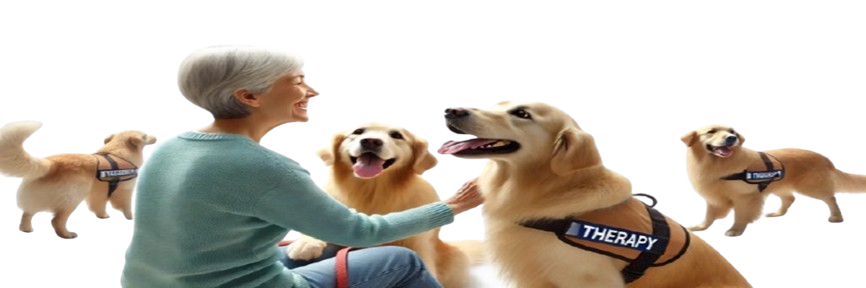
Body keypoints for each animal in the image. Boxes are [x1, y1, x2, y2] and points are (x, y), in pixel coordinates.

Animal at [0, 120, 157, 240]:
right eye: (145, 135)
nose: (155, 137)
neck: (117, 153)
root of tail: (50, 164)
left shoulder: (98, 193)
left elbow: (99, 205)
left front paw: (103, 215)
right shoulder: (124, 191)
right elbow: (126, 206)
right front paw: (132, 217)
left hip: (39, 196)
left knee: (27, 213)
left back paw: (26, 228)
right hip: (72, 198)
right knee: (56, 220)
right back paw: (66, 235)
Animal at [286, 121, 482, 288]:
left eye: (396, 135)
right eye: (357, 132)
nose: (371, 141)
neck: (373, 191)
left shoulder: (417, 244)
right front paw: (305, 244)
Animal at [680, 122, 860, 237]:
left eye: (732, 132)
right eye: (711, 132)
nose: (731, 138)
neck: (718, 164)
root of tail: (824, 157)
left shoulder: (745, 197)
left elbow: (740, 215)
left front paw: (736, 230)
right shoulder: (714, 197)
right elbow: (709, 214)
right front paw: (701, 226)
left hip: (811, 186)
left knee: (830, 198)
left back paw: (836, 217)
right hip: (780, 185)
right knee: (790, 198)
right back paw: (777, 213)